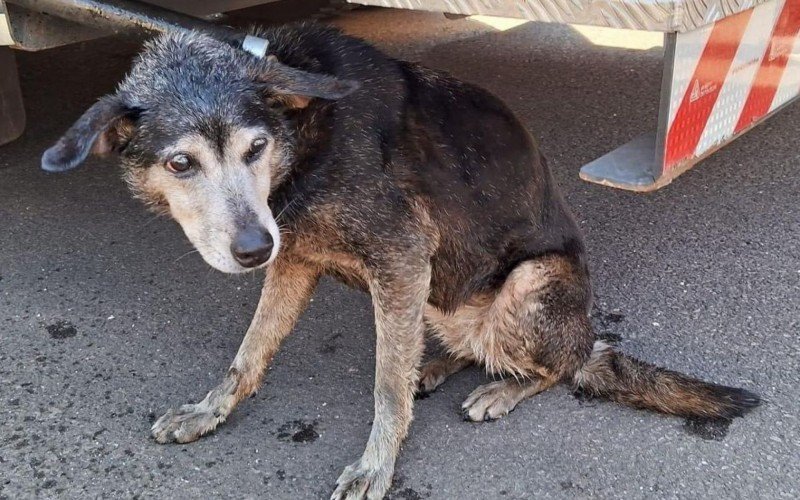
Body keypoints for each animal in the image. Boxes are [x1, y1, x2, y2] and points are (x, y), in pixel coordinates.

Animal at [40, 23, 760, 500]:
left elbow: (385, 387)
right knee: (466, 344)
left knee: (559, 366)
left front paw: (376, 465)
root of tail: (587, 333)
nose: (251, 249)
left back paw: (501, 387)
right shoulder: (296, 261)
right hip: (441, 294)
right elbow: (250, 352)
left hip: (527, 283)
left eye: (255, 147)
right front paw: (209, 411)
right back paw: (438, 365)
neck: (308, 134)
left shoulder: (399, 262)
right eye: (181, 163)